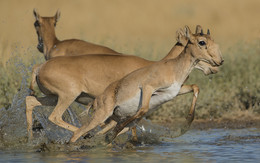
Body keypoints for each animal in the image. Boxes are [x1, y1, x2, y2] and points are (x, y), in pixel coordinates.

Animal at [25, 24, 221, 141]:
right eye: (201, 42)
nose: (217, 64)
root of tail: (40, 67)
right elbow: (128, 128)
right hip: (68, 97)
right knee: (56, 117)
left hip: (54, 97)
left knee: (31, 101)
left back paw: (30, 139)